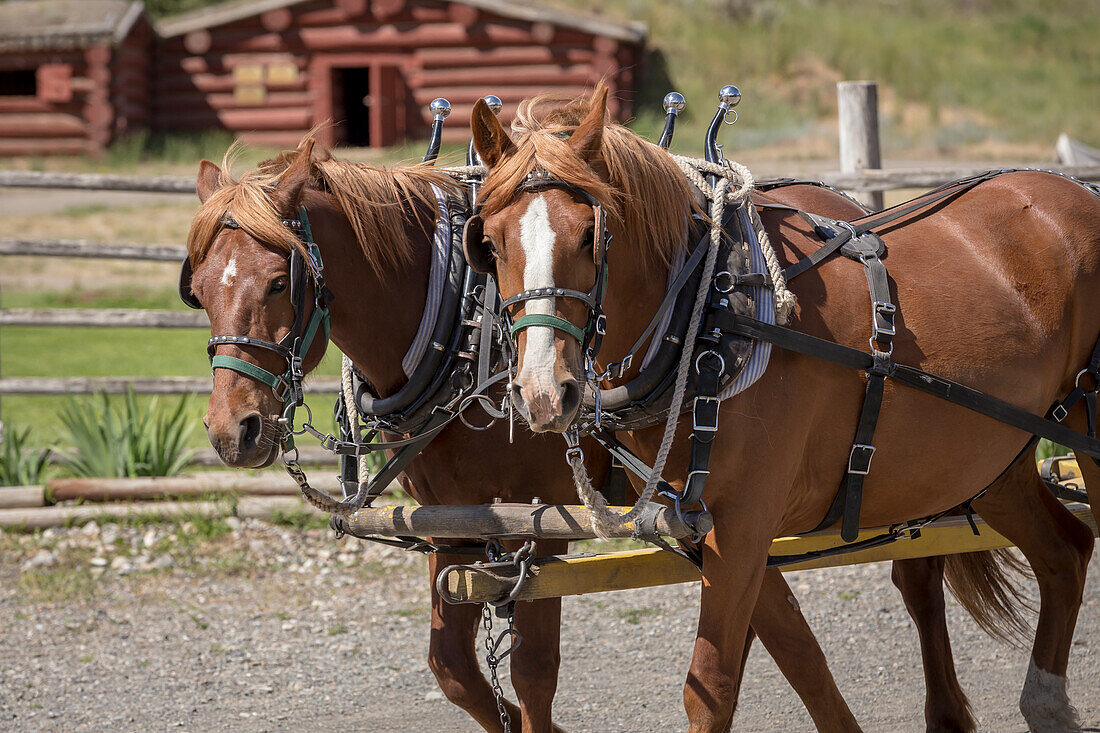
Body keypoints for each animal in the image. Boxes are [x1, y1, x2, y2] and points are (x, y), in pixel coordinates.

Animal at [468, 93, 1095, 730]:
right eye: (489, 244)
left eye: (590, 237)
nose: (544, 393)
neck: (711, 312)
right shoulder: (714, 530)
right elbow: (796, 654)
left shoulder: (745, 522)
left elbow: (713, 685)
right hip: (987, 461)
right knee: (1064, 551)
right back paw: (1046, 704)